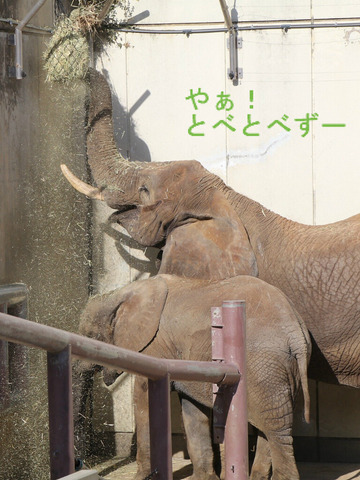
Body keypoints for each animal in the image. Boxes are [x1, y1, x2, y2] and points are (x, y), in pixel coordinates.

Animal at [74, 274, 310, 480]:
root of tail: (295, 330)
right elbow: (192, 409)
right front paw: (204, 478)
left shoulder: (155, 347)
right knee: (269, 424)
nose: (79, 462)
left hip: (263, 365)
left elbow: (144, 396)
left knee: (276, 426)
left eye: (89, 335)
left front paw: (141, 478)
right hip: (283, 370)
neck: (120, 294)